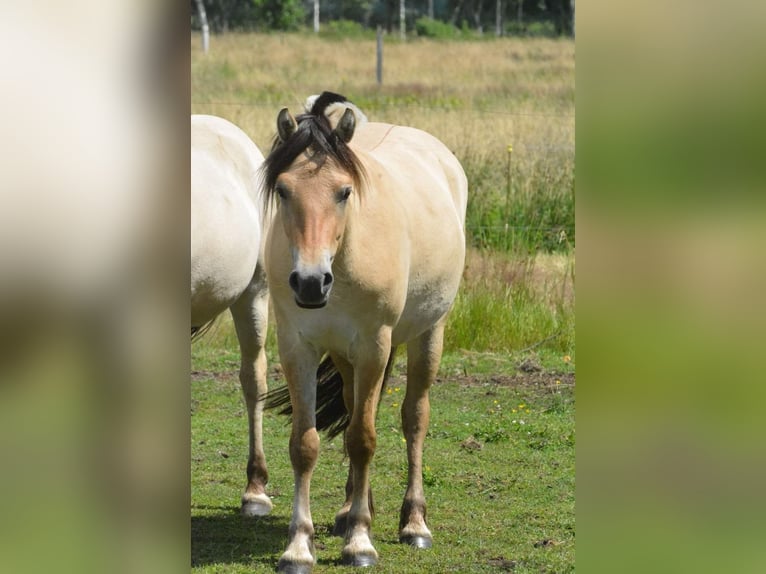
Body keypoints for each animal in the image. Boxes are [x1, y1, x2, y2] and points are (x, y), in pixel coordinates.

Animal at [262, 92, 468, 572]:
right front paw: (299, 546)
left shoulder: (375, 345)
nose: (310, 282)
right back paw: (353, 508)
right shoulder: (297, 346)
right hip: (344, 355)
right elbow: (306, 443)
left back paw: (413, 523)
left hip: (428, 334)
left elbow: (363, 439)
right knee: (357, 406)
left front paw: (360, 542)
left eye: (344, 192)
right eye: (283, 190)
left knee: (414, 418)